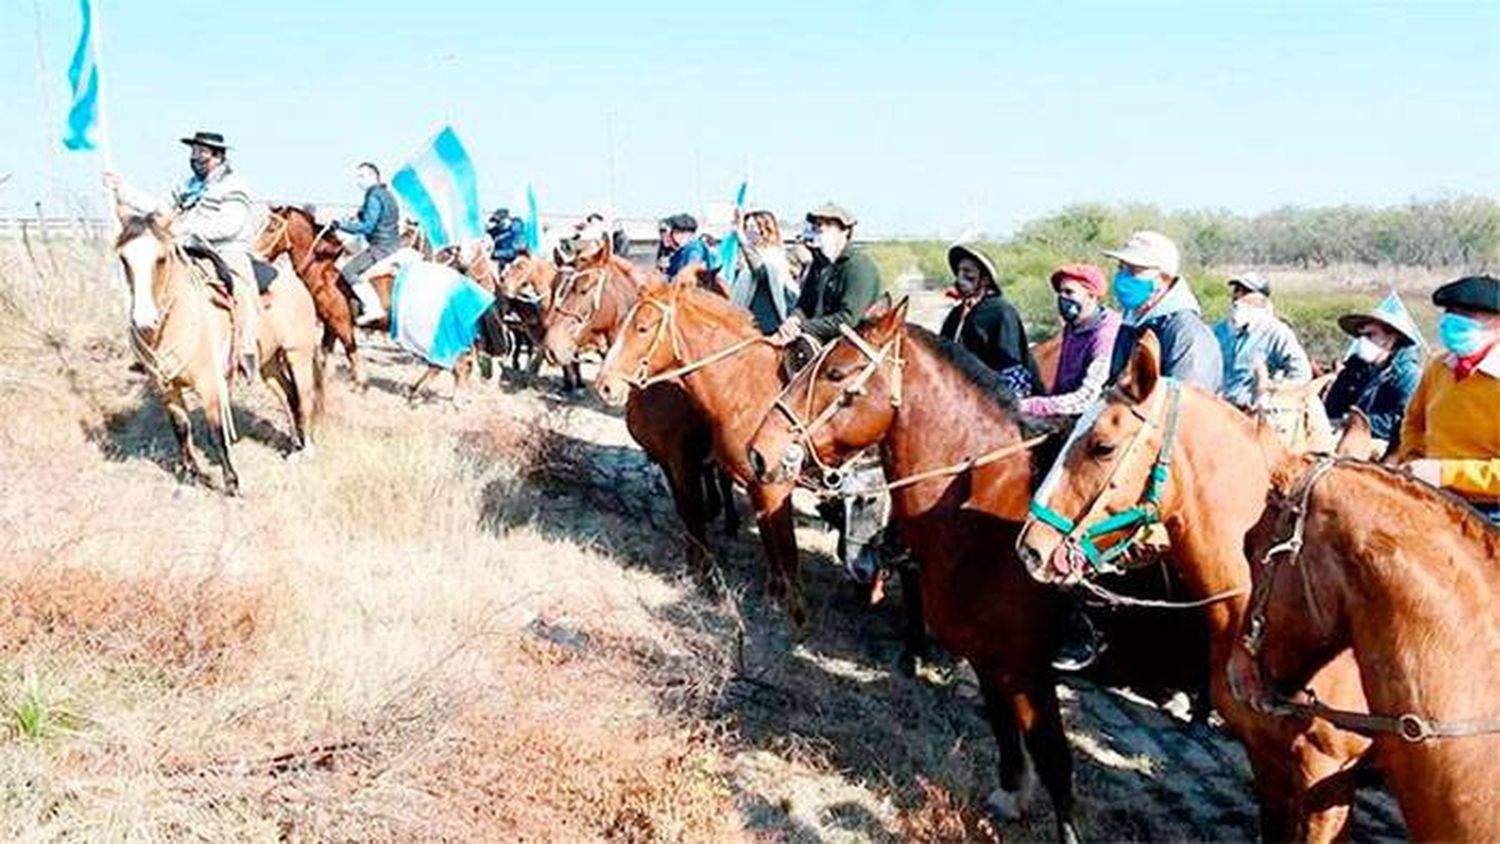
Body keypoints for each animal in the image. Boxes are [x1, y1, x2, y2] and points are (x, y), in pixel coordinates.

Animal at [117, 212, 325, 494]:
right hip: (268, 364)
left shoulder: (210, 384)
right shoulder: (167, 388)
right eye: (123, 258)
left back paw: (307, 450)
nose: (144, 320)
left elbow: (215, 431)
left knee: (304, 396)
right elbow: (181, 430)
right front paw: (191, 478)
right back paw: (295, 445)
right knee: (288, 396)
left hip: (298, 354)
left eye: (161, 258)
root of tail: (297, 284)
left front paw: (232, 483)